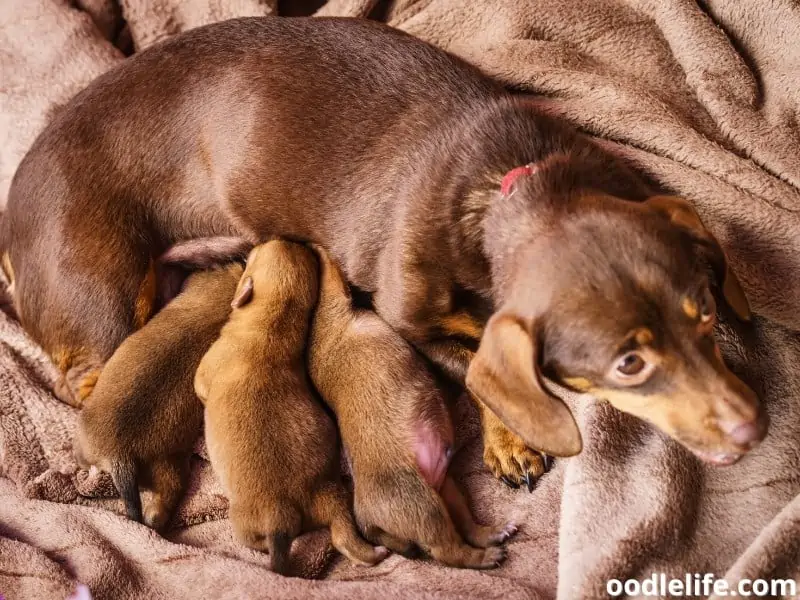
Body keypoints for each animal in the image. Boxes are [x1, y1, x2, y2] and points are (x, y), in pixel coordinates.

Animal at [1, 16, 768, 486]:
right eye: (628, 364)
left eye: (706, 313)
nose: (756, 426)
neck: (507, 187)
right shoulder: (407, 319)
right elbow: (473, 371)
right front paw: (511, 438)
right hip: (102, 295)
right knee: (86, 385)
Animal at [191, 241, 384, 576]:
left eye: (254, 256)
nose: (290, 238)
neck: (272, 325)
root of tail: (286, 511)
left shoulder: (205, 372)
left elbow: (200, 387)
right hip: (336, 499)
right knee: (343, 535)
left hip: (242, 521)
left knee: (253, 542)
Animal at [306, 246, 520, 568]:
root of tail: (365, 518)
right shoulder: (335, 297)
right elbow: (329, 267)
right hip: (425, 507)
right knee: (448, 550)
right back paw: (486, 556)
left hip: (446, 491)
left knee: (464, 528)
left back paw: (492, 534)